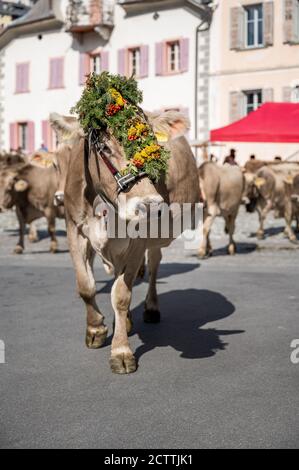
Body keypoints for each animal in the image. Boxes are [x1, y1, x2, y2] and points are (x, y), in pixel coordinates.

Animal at [51, 111, 202, 374]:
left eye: (152, 146)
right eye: (105, 147)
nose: (150, 205)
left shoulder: (138, 241)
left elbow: (121, 295)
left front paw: (120, 351)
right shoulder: (74, 228)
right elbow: (86, 285)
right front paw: (95, 329)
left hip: (154, 240)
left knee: (153, 265)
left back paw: (151, 308)